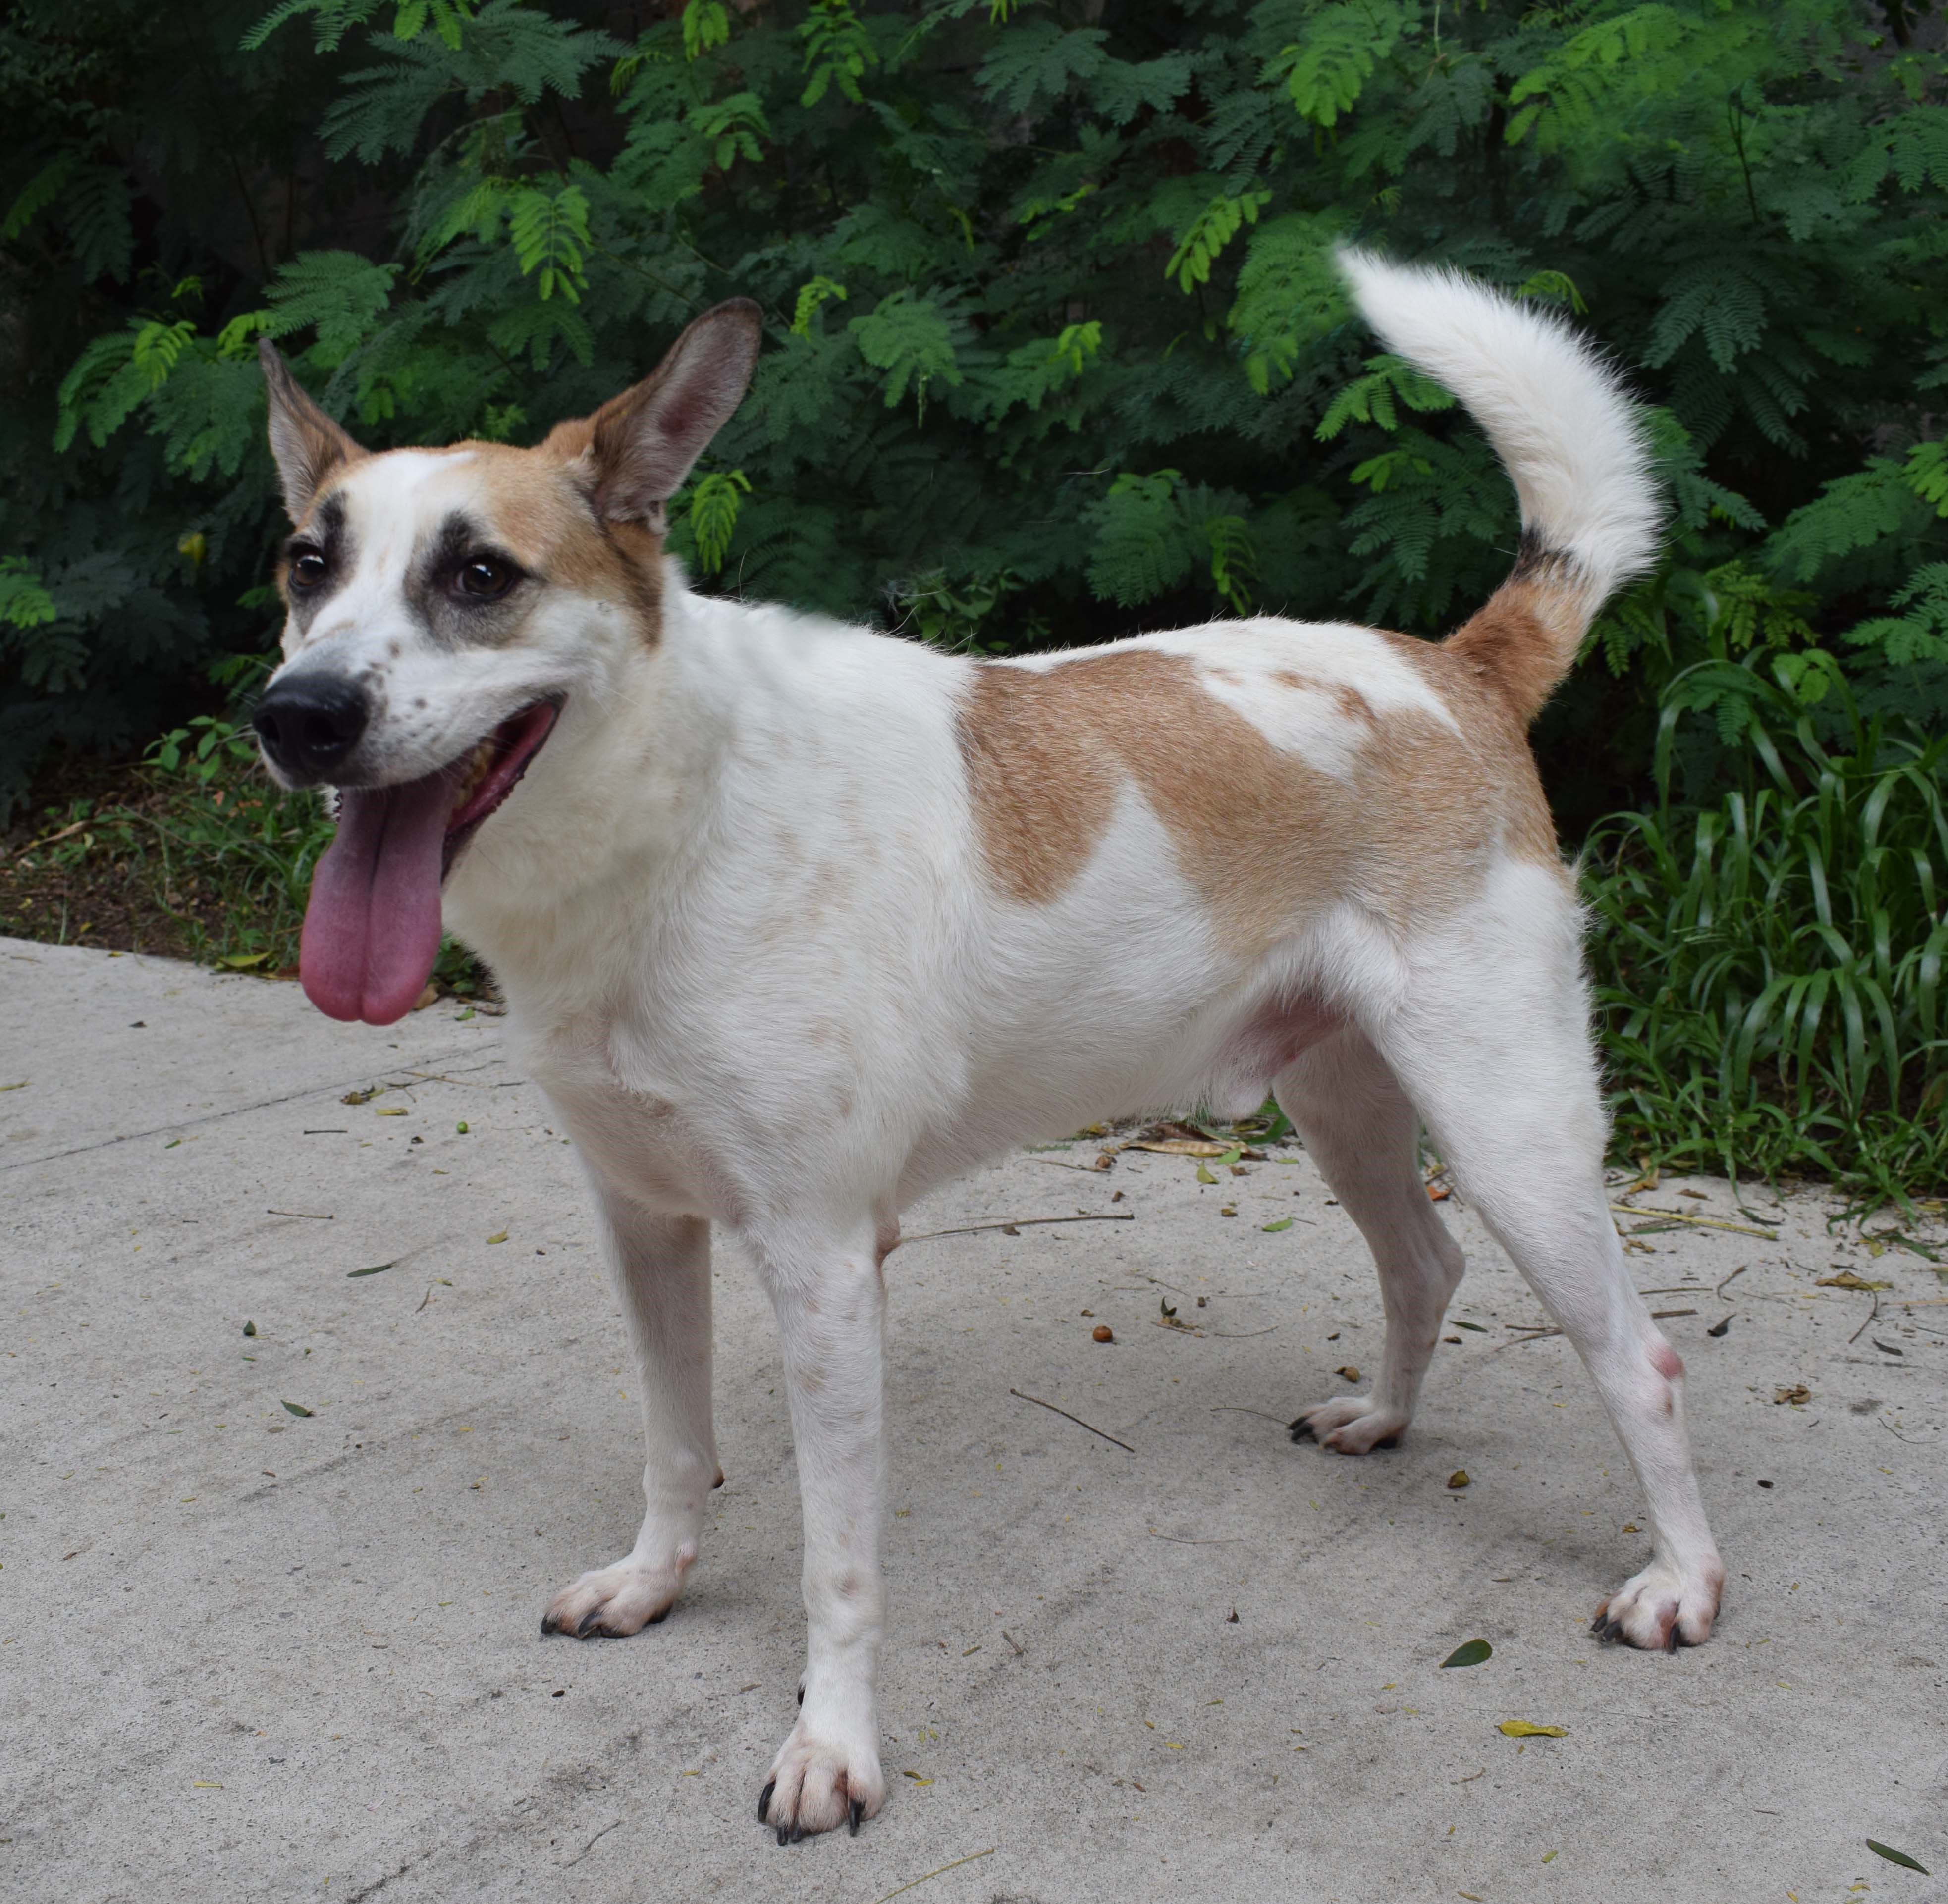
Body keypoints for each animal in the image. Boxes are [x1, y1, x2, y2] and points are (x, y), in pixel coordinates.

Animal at [251, 257, 1730, 1838]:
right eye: (305, 565)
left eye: (480, 576)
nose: (296, 717)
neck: (675, 815)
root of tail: (1449, 665)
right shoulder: (641, 1222)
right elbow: (673, 1443)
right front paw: (653, 1582)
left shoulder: (827, 1267)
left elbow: (838, 1564)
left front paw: (831, 1746)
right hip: (1344, 1104)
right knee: (1425, 1262)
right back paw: (1384, 1420)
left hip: (1511, 1129)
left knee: (1637, 1357)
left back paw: (1681, 1582)